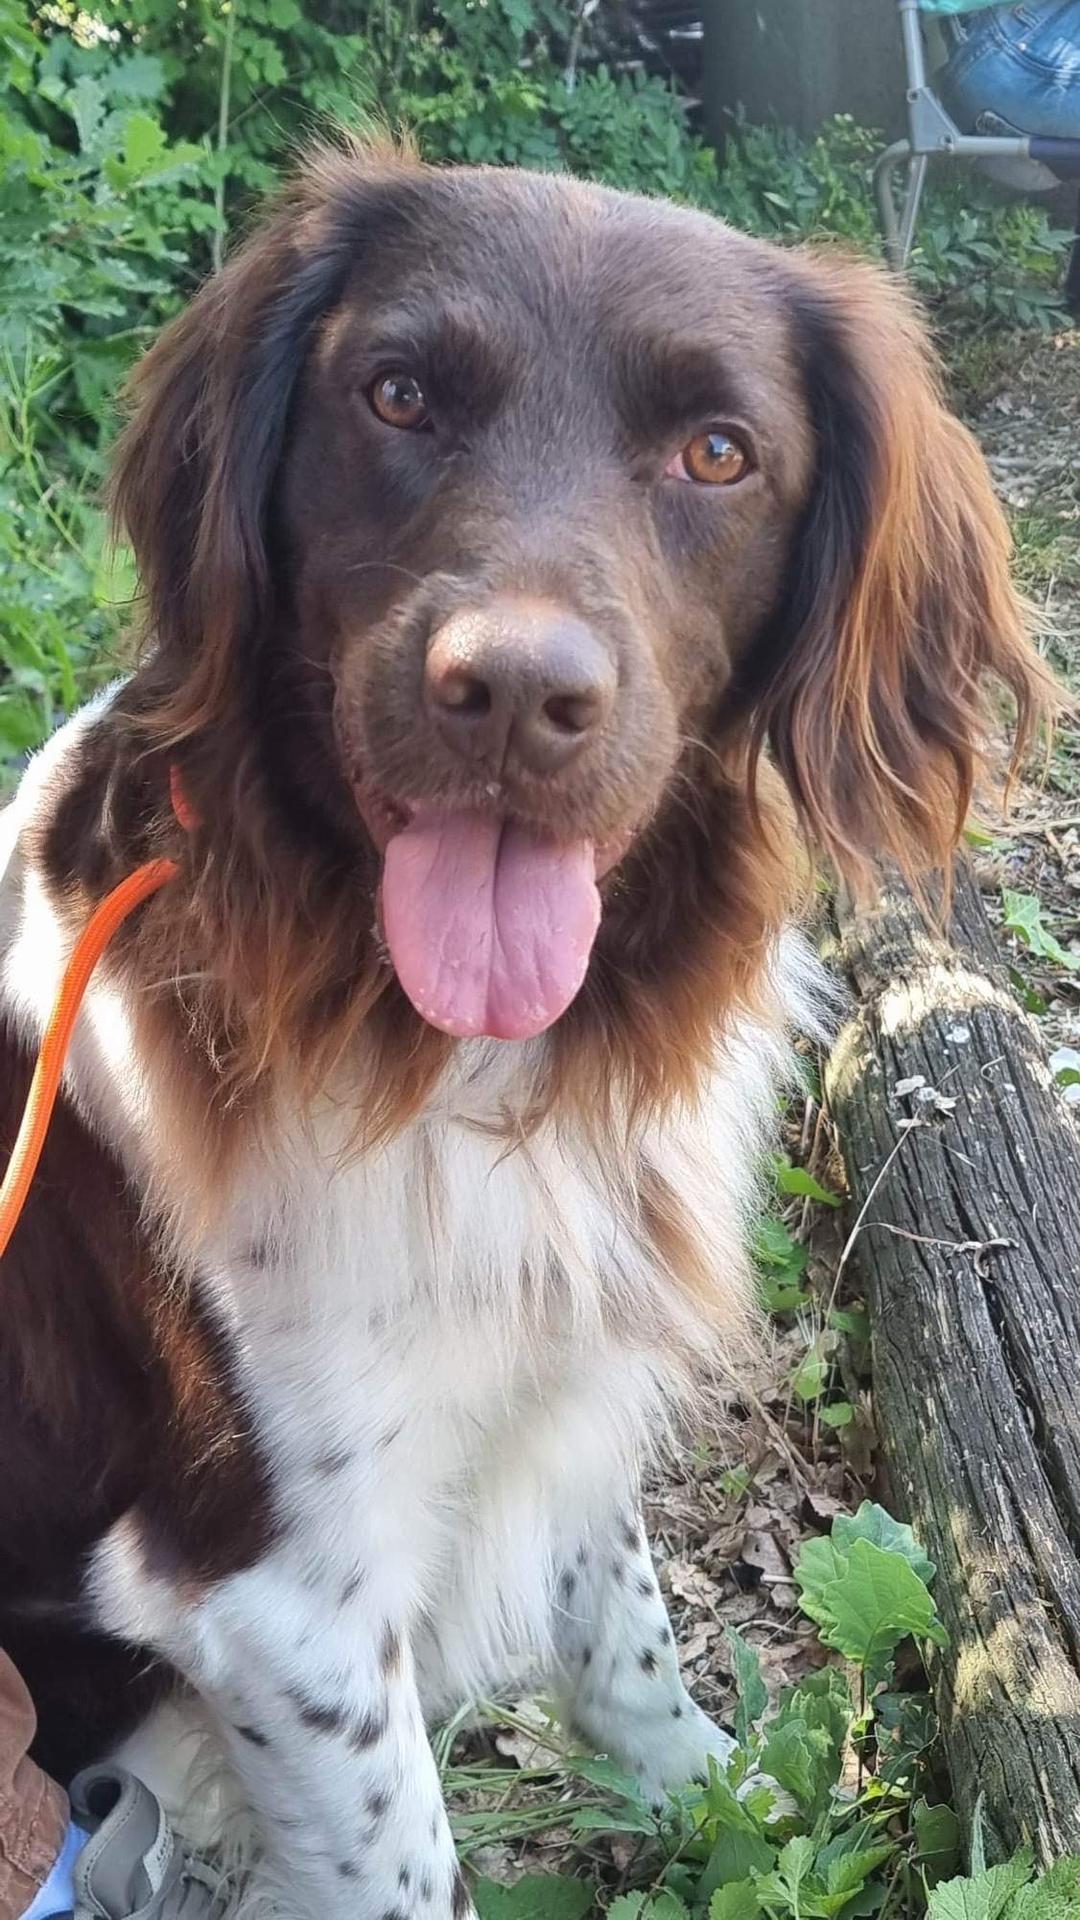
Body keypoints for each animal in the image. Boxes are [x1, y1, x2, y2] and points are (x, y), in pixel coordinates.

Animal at [0, 145, 1053, 1920]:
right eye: (397, 394)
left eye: (719, 452)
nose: (509, 693)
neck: (454, 1056)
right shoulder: (277, 1599)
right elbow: (408, 1855)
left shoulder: (560, 1375)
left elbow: (623, 1631)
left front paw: (718, 1805)